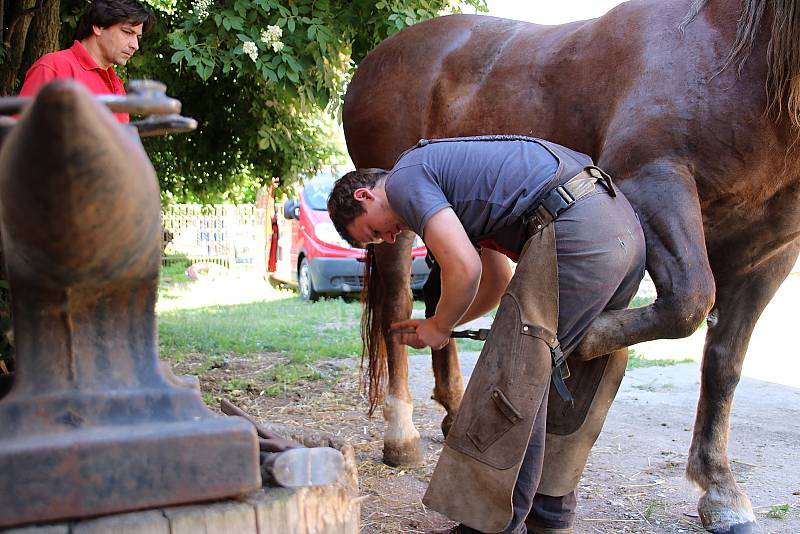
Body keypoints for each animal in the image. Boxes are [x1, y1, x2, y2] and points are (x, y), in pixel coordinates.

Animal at [342, 1, 800, 532]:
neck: (735, 54)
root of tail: (378, 57)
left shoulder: (770, 251)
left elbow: (724, 363)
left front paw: (720, 488)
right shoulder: (652, 182)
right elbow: (689, 300)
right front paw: (588, 342)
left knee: (442, 300)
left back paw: (456, 412)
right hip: (398, 226)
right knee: (398, 309)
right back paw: (402, 436)